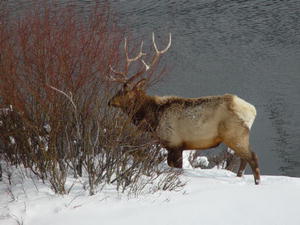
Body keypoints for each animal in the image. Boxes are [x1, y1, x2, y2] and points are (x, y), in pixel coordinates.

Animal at [108, 33, 260, 185]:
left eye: (124, 92)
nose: (110, 102)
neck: (153, 119)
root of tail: (252, 111)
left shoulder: (174, 143)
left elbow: (176, 168)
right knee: (244, 159)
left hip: (235, 135)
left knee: (252, 157)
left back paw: (257, 182)